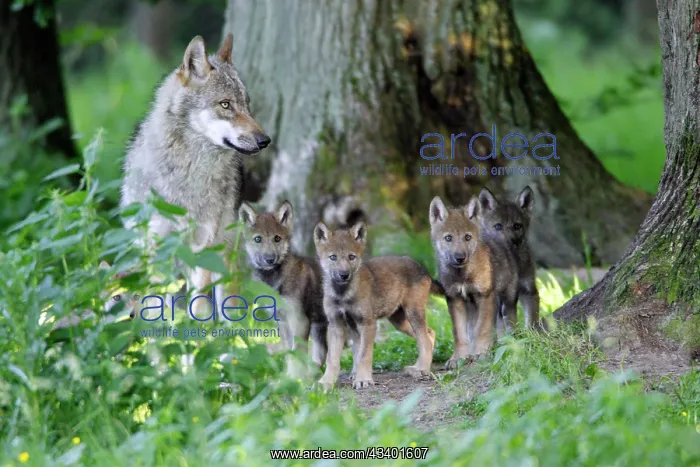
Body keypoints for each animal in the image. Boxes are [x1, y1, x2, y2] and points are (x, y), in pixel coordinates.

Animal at [120, 34, 270, 317]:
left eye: (247, 105)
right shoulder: (155, 249)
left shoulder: (202, 248)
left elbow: (198, 308)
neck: (187, 172)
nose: (265, 140)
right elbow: (152, 308)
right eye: (225, 104)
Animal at [238, 200, 328, 366]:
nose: (269, 259)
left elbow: (296, 358)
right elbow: (289, 354)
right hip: (319, 326)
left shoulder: (299, 321)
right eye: (258, 239)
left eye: (277, 238)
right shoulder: (283, 322)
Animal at [313, 221, 439, 390]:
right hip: (398, 321)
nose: (344, 275)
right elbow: (333, 359)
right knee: (430, 334)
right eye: (333, 257)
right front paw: (326, 382)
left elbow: (364, 355)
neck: (343, 294)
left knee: (424, 339)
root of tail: (422, 268)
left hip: (413, 314)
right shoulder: (337, 325)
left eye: (351, 257)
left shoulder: (368, 324)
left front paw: (363, 379)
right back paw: (417, 367)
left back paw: (422, 369)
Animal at [429, 196, 518, 368]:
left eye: (467, 237)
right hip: (472, 305)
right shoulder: (455, 299)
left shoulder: (485, 296)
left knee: (509, 321)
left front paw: (481, 354)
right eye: (448, 238)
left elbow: (482, 329)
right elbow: (460, 334)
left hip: (507, 299)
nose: (460, 257)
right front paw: (458, 358)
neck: (463, 275)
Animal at [477, 187, 539, 329]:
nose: (509, 243)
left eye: (517, 226)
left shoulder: (528, 290)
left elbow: (531, 322)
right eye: (498, 226)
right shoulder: (507, 299)